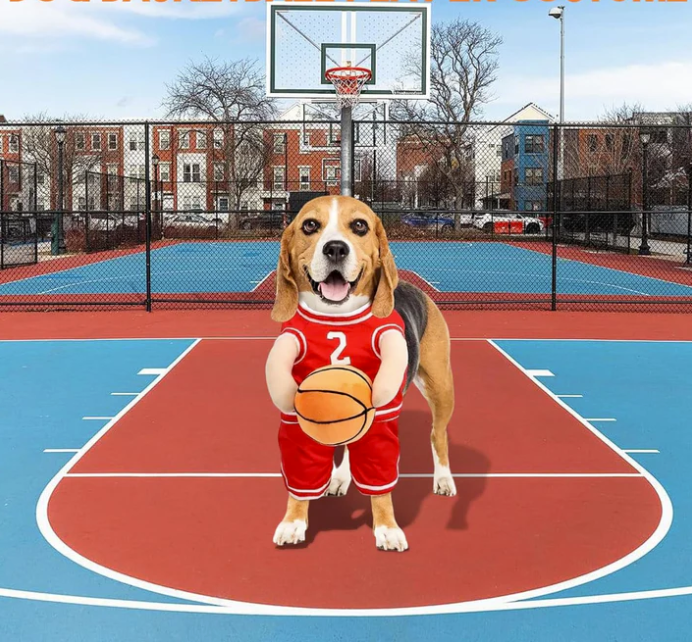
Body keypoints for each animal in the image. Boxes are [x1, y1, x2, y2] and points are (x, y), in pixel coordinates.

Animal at [264, 195, 454, 552]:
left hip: (441, 387)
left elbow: (380, 484)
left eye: (360, 226)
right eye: (310, 225)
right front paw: (293, 522)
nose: (336, 248)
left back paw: (444, 479)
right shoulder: (296, 422)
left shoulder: (381, 423)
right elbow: (301, 480)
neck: (337, 320)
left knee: (438, 435)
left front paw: (387, 528)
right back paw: (340, 477)